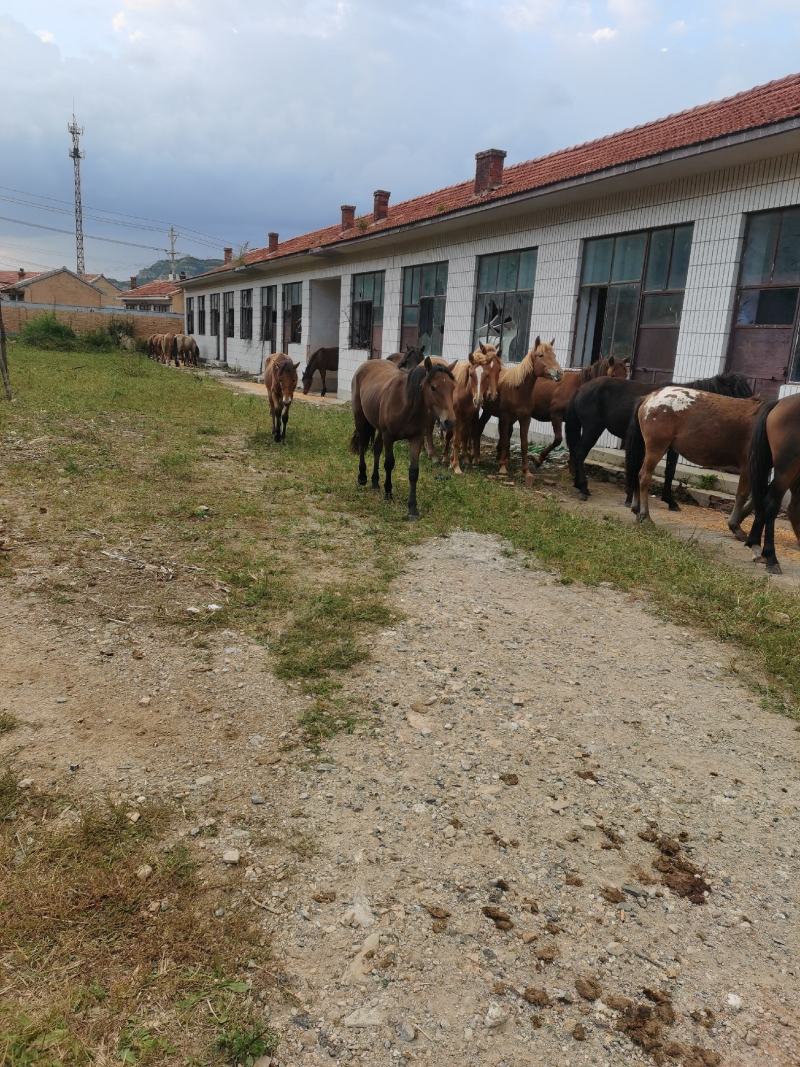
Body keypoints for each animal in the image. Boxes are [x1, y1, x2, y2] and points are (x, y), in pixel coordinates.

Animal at [350, 356, 457, 519]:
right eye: (433, 387)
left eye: (452, 388)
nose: (449, 421)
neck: (405, 403)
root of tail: (368, 362)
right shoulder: (389, 437)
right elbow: (389, 464)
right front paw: (388, 493)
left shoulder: (416, 439)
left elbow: (413, 472)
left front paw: (412, 507)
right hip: (361, 419)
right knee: (363, 445)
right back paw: (362, 477)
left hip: (379, 428)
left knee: (376, 449)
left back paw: (375, 482)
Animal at [477, 337, 563, 478]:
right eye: (540, 355)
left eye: (555, 355)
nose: (559, 373)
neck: (517, 389)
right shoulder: (505, 417)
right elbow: (505, 440)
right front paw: (503, 467)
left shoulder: (525, 419)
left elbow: (524, 443)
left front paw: (526, 471)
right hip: (487, 411)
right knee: (479, 428)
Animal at [567, 371, 754, 506]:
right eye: (740, 392)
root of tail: (580, 389)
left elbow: (669, 471)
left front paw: (668, 500)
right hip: (593, 428)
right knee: (580, 453)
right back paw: (583, 488)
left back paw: (578, 485)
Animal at [625, 386, 763, 538]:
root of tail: (650, 397)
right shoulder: (748, 466)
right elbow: (743, 495)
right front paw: (736, 526)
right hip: (656, 447)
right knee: (644, 476)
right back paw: (645, 516)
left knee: (637, 472)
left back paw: (637, 510)